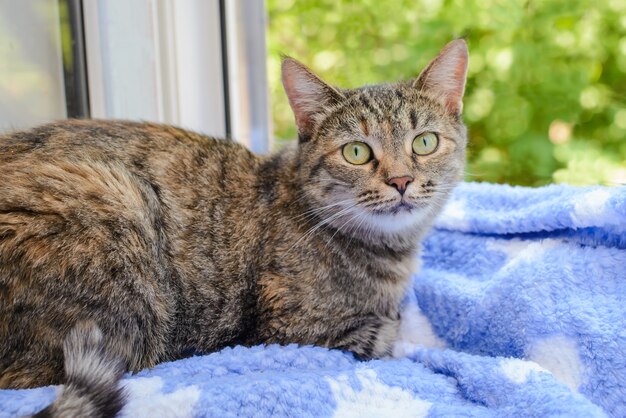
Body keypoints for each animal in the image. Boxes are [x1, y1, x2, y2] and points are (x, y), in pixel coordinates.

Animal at [0, 40, 466, 418]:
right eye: (356, 152)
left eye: (424, 142)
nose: (401, 180)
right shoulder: (291, 331)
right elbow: (390, 333)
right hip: (118, 208)